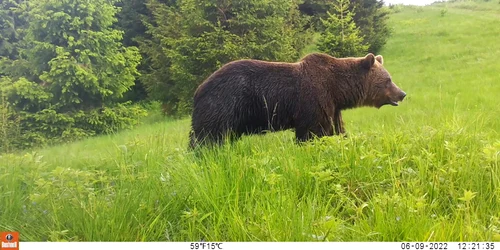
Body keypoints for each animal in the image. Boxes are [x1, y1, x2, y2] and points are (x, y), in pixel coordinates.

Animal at [189, 51, 404, 147]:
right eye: (388, 80)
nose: (402, 93)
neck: (337, 88)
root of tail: (199, 89)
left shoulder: (332, 106)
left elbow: (336, 129)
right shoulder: (314, 99)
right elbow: (312, 131)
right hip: (224, 103)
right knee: (207, 137)